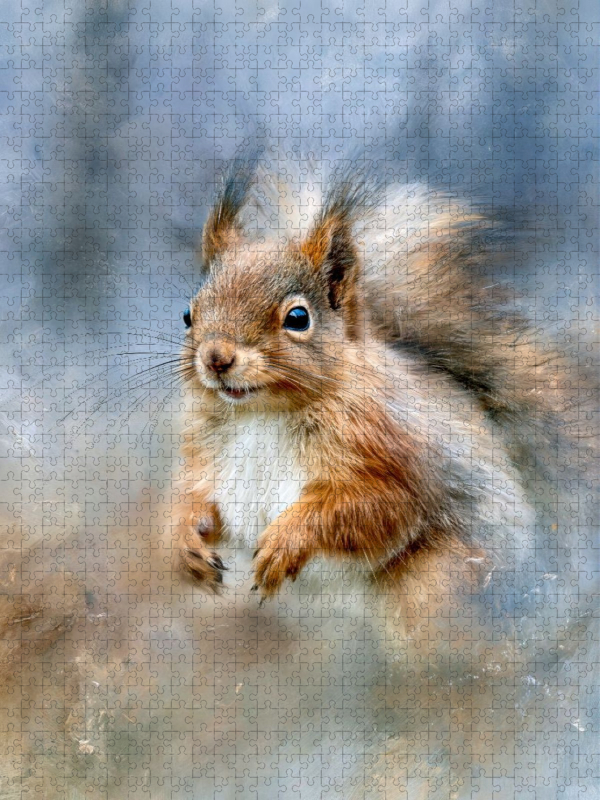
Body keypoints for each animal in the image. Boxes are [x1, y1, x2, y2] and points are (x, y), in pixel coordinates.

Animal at [172, 155, 595, 616]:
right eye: (188, 314)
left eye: (298, 318)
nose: (216, 358)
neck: (260, 415)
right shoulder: (206, 455)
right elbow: (194, 496)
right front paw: (183, 539)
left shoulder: (396, 452)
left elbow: (376, 508)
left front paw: (286, 541)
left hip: (437, 583)